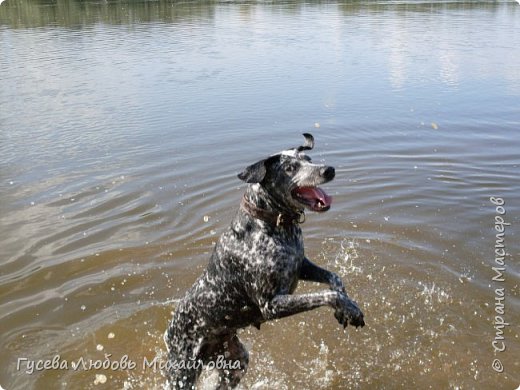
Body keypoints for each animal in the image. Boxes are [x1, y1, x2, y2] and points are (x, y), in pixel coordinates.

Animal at [165, 133, 364, 386]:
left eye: (309, 159)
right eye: (290, 168)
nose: (328, 170)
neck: (274, 224)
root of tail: (168, 333)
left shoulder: (301, 266)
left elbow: (335, 278)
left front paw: (347, 308)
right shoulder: (270, 304)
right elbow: (327, 294)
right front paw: (347, 306)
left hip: (236, 362)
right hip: (182, 373)